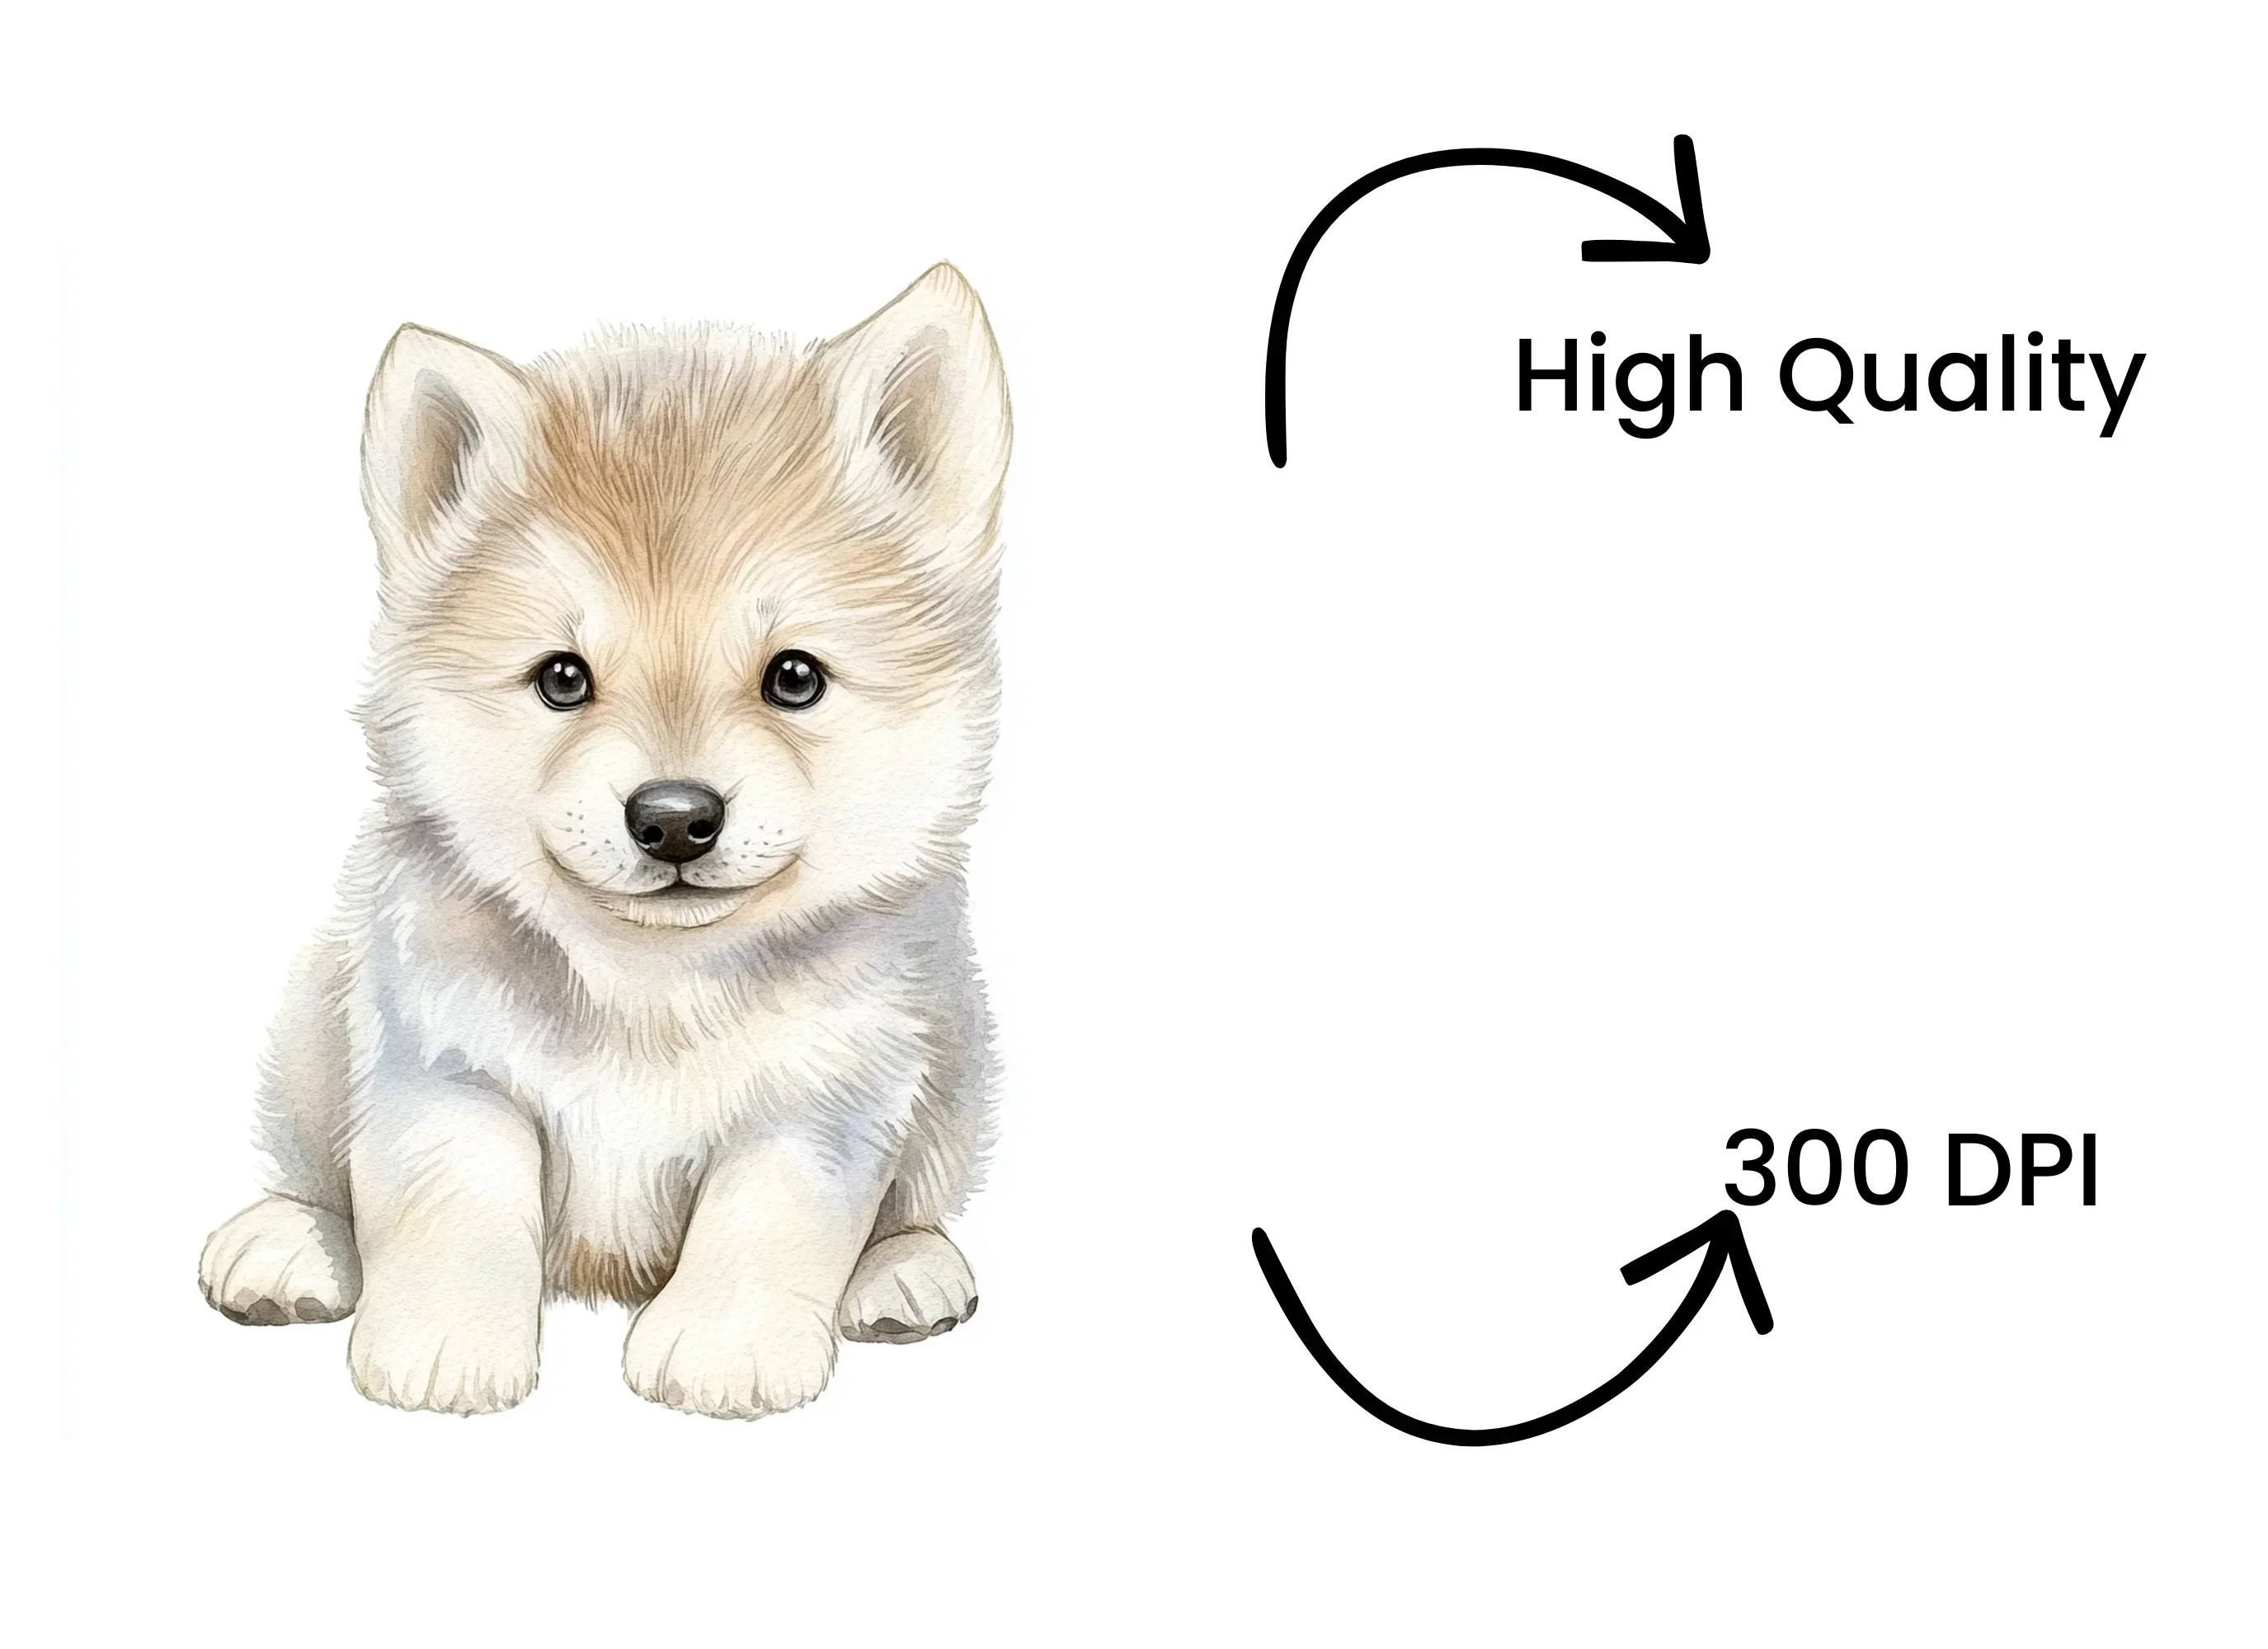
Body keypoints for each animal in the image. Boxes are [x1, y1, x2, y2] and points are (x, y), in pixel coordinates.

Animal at [197, 265, 1009, 1418]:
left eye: (794, 677)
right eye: (562, 678)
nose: (672, 816)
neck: (651, 985)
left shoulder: (828, 1093)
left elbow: (766, 1214)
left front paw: (725, 1348)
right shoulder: (441, 1060)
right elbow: (454, 1195)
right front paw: (444, 1346)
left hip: (957, 1066)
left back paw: (904, 1270)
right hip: (315, 1021)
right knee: (318, 1170)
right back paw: (292, 1245)